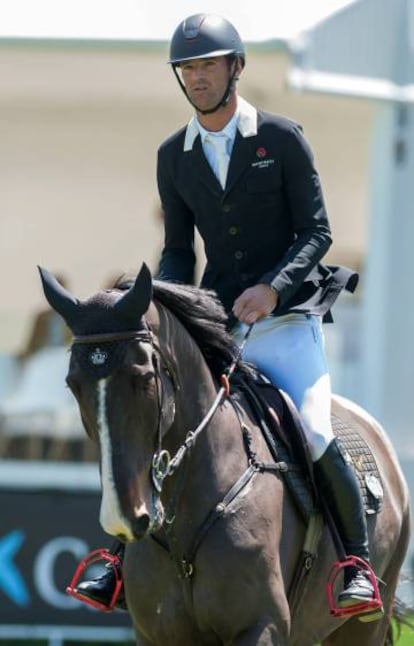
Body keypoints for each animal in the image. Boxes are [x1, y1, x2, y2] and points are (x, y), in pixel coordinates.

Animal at [39, 260, 410, 644]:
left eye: (143, 379)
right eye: (72, 384)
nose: (124, 517)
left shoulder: (261, 625)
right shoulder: (158, 634)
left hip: (362, 621)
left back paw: (359, 582)